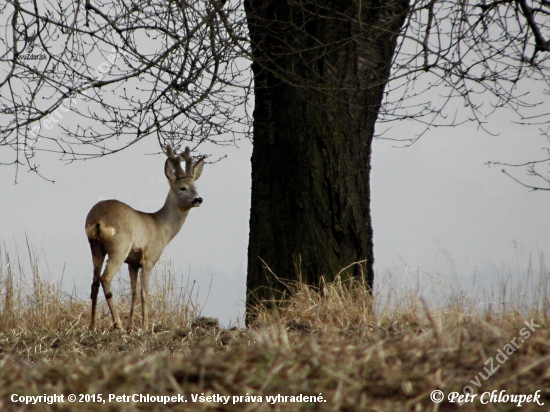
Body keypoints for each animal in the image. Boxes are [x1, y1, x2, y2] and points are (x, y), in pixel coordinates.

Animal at [85, 146, 206, 332]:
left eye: (196, 186)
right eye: (183, 188)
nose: (198, 199)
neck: (161, 228)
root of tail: (98, 220)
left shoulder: (133, 263)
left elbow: (134, 292)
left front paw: (131, 326)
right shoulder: (149, 258)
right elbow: (144, 293)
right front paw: (145, 327)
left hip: (95, 247)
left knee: (94, 283)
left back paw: (92, 325)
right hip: (120, 246)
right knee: (105, 278)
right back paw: (117, 325)